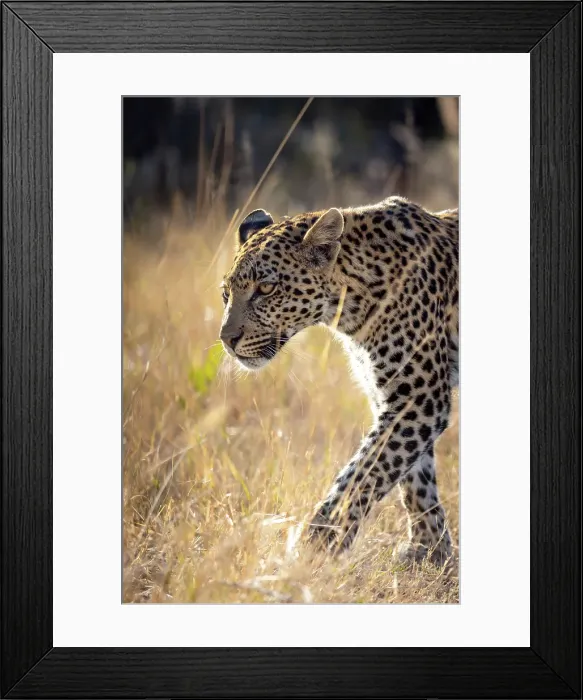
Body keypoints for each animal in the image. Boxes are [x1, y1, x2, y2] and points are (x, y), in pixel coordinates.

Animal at [219, 196, 458, 565]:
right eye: (225, 294)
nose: (226, 339)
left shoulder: (420, 397)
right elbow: (415, 479)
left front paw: (314, 549)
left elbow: (362, 473)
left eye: (266, 289)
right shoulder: (393, 396)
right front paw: (430, 551)